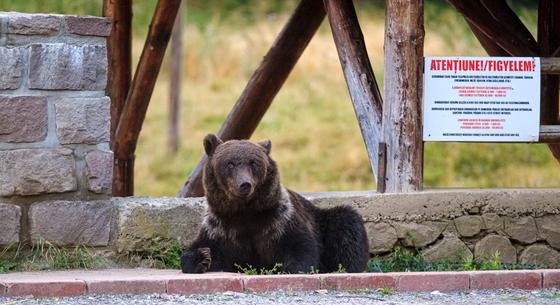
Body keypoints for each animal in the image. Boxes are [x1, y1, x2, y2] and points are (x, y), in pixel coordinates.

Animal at [179, 134, 370, 272]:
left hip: (323, 220)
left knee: (346, 223)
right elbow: (199, 248)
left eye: (254, 163)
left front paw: (290, 268)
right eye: (230, 163)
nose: (244, 184)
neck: (244, 212)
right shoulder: (220, 228)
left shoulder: (279, 220)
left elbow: (301, 247)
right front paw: (202, 257)